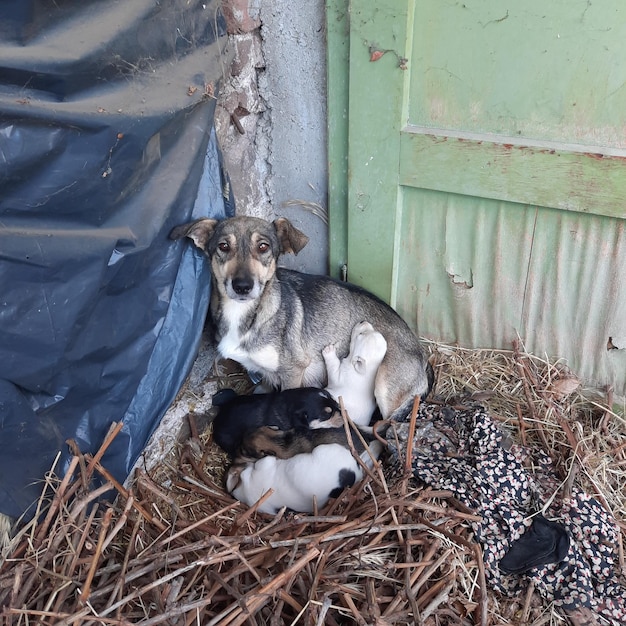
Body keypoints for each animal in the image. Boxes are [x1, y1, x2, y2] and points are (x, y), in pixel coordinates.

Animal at [171, 214, 434, 420]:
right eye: (223, 246)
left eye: (263, 247)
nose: (242, 286)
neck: (247, 315)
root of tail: (422, 356)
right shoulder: (263, 371)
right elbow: (264, 385)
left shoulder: (293, 370)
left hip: (385, 387)